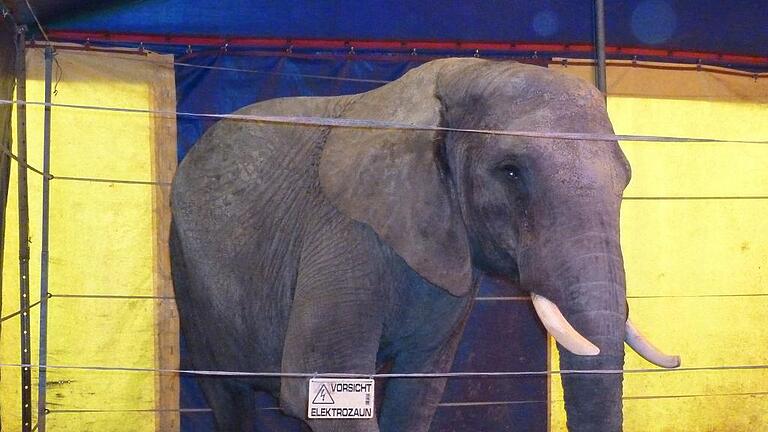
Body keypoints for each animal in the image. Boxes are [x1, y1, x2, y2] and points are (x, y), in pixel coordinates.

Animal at [170, 58, 680, 432]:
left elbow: (418, 394)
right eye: (511, 171)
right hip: (187, 275)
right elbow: (320, 385)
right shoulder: (343, 230)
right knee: (227, 396)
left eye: (625, 180)